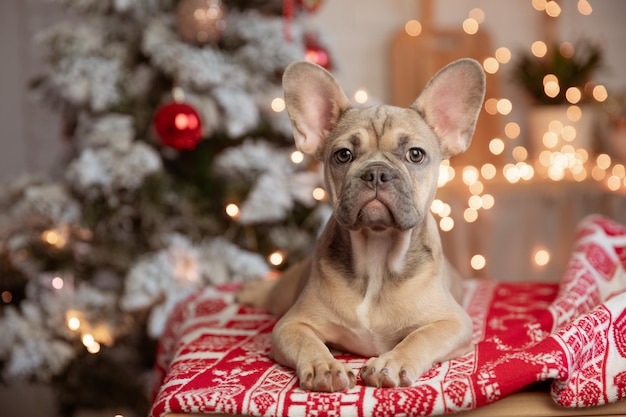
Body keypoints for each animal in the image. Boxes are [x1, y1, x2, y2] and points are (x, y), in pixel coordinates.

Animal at [236, 57, 486, 390]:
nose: (377, 172)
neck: (377, 255)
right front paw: (325, 367)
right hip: (285, 293)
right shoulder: (291, 324)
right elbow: (308, 343)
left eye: (415, 154)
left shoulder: (452, 322)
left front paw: (391, 362)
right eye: (343, 155)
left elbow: (421, 337)